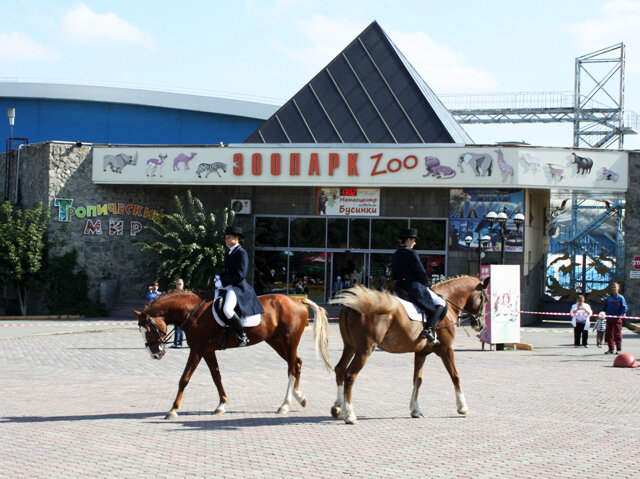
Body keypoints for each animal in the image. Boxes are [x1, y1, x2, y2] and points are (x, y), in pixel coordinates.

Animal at [133, 288, 332, 420]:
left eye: (149, 330)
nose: (155, 355)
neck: (192, 314)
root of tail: (298, 301)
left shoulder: (197, 350)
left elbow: (185, 378)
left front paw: (173, 409)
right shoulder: (207, 350)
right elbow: (216, 376)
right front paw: (221, 405)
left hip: (289, 341)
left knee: (292, 368)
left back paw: (285, 405)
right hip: (276, 341)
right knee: (296, 364)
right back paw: (299, 398)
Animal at [328, 276, 488, 426]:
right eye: (485, 298)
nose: (480, 325)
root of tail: (352, 304)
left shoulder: (421, 353)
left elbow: (417, 379)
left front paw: (415, 410)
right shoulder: (446, 349)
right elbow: (455, 376)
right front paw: (463, 407)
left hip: (350, 346)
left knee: (340, 369)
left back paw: (338, 407)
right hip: (365, 350)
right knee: (350, 375)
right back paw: (350, 415)